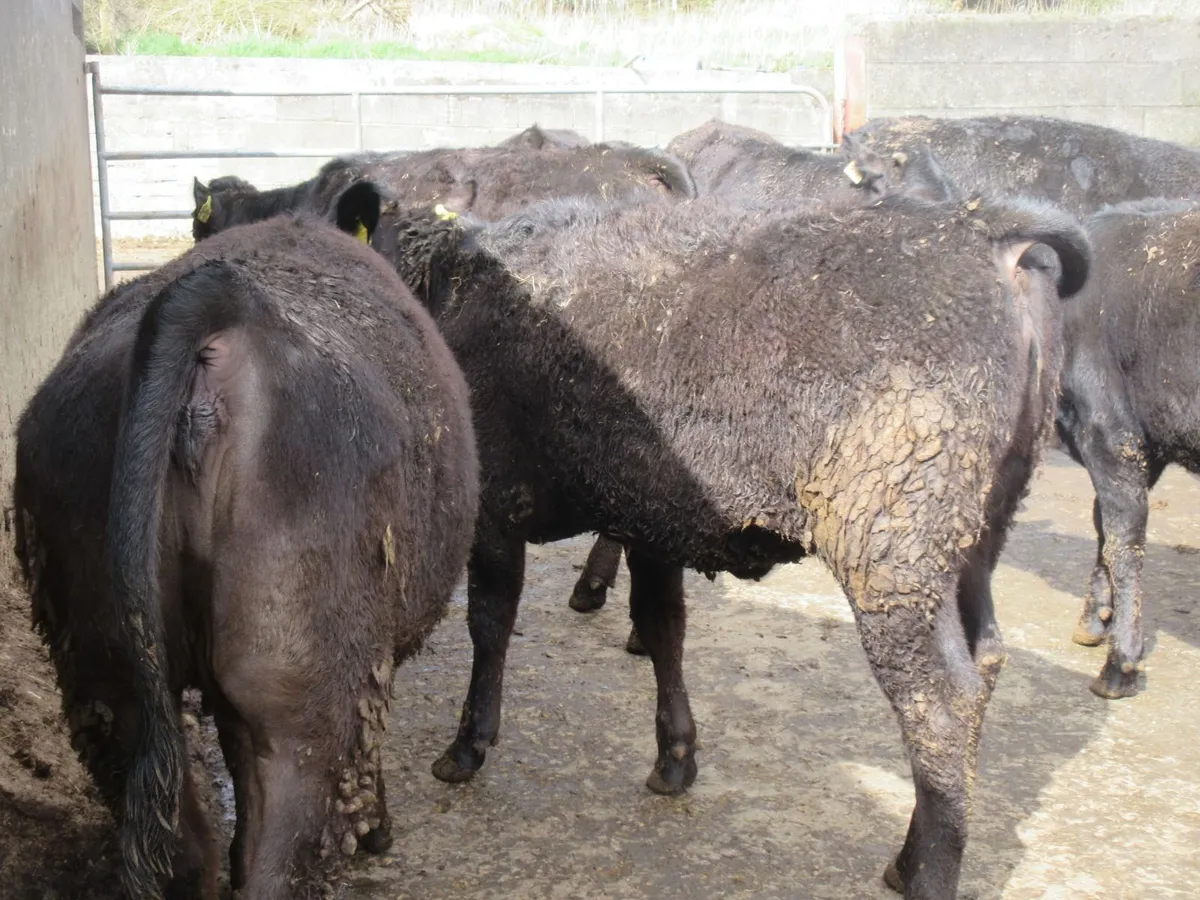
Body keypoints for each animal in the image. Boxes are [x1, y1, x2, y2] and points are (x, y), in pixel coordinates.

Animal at [13, 183, 479, 900]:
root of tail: (224, 306)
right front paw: (379, 829)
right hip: (303, 688)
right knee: (280, 849)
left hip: (106, 671)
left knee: (183, 847)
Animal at [367, 192, 1091, 899]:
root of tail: (995, 232)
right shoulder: (650, 519)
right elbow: (662, 628)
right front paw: (675, 758)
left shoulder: (496, 510)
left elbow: (490, 624)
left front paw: (466, 746)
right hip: (972, 551)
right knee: (984, 667)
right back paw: (906, 857)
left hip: (894, 563)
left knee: (939, 704)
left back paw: (925, 875)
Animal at [1055, 197, 1200, 699]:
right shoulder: (1142, 445)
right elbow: (1103, 524)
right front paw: (1093, 622)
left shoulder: (1112, 434)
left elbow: (1123, 537)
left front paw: (1120, 664)